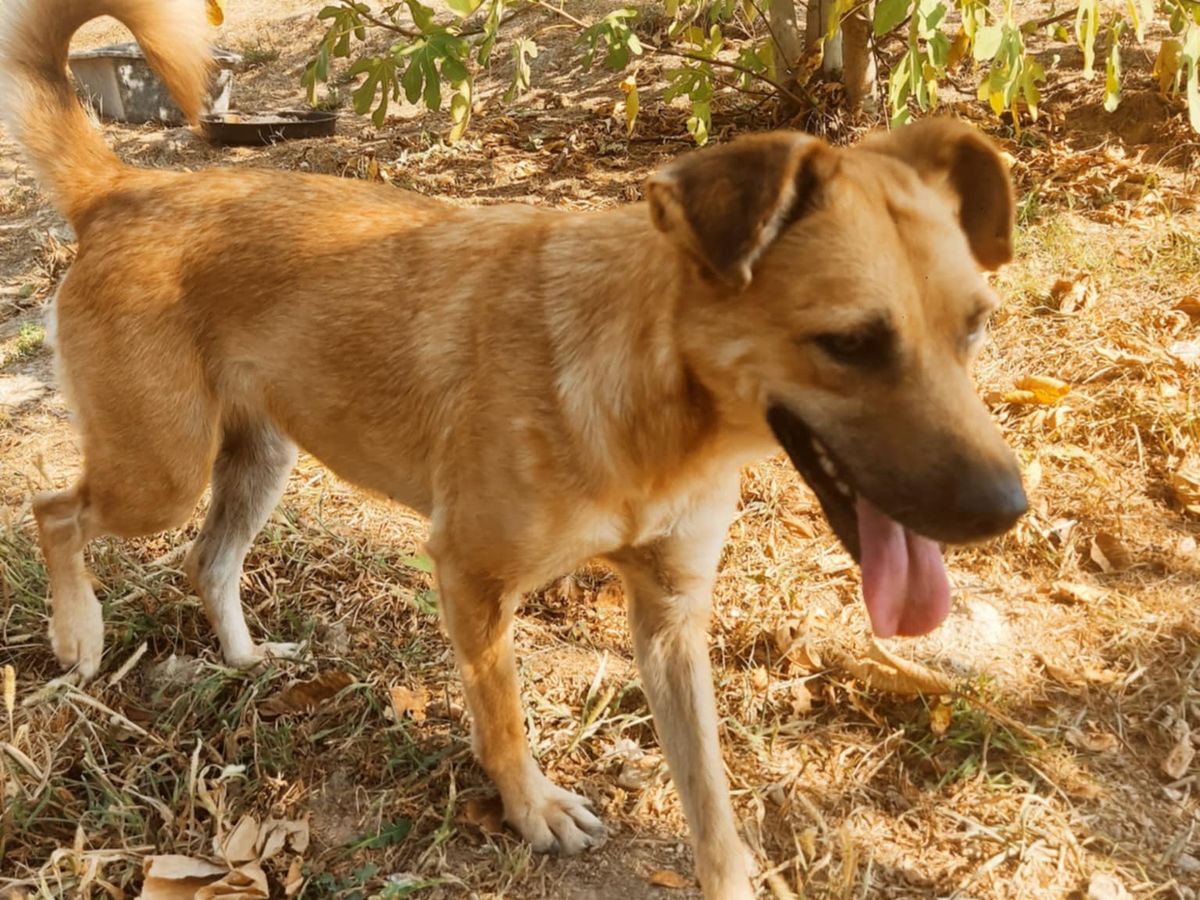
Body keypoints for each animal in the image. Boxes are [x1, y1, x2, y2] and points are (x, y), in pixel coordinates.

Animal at [0, 1, 1026, 896]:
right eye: (849, 343)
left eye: (978, 326)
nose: (1008, 509)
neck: (652, 399)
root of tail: (127, 191)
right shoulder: (470, 576)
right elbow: (503, 717)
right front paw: (532, 809)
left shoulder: (670, 618)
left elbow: (710, 795)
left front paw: (727, 873)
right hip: (161, 471)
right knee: (56, 511)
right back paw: (79, 634)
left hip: (257, 460)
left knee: (206, 561)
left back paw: (250, 661)